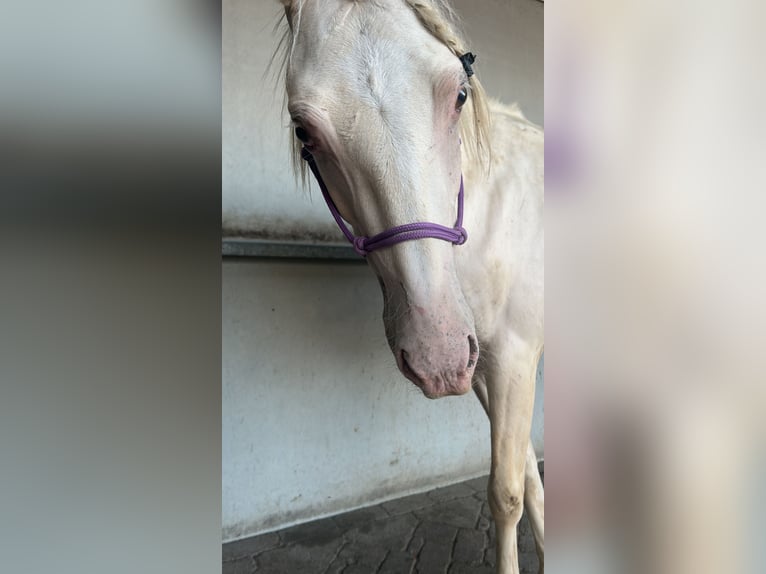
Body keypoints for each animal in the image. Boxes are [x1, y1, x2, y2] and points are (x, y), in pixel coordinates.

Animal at [274, 1, 544, 572]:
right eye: (304, 130)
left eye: (459, 93)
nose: (435, 354)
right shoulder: (485, 366)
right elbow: (530, 480)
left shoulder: (514, 358)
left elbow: (507, 493)